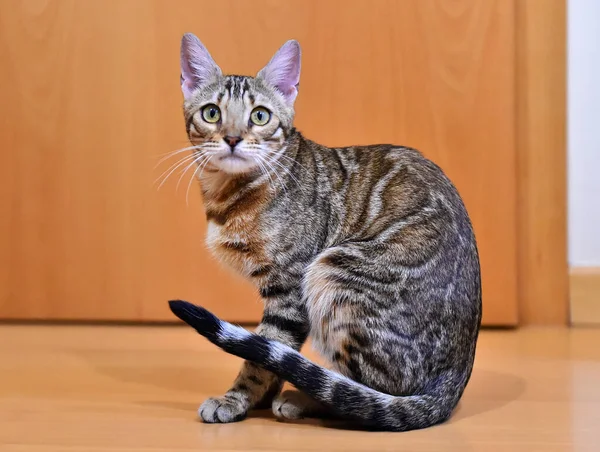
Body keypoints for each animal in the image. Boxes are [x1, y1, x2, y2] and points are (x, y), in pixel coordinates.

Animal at [168, 33, 482, 432]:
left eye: (260, 116)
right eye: (212, 113)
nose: (233, 138)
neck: (228, 193)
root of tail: (456, 377)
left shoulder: (289, 287)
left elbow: (261, 355)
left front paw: (236, 399)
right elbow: (273, 352)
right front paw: (262, 394)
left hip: (332, 276)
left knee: (370, 395)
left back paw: (308, 398)